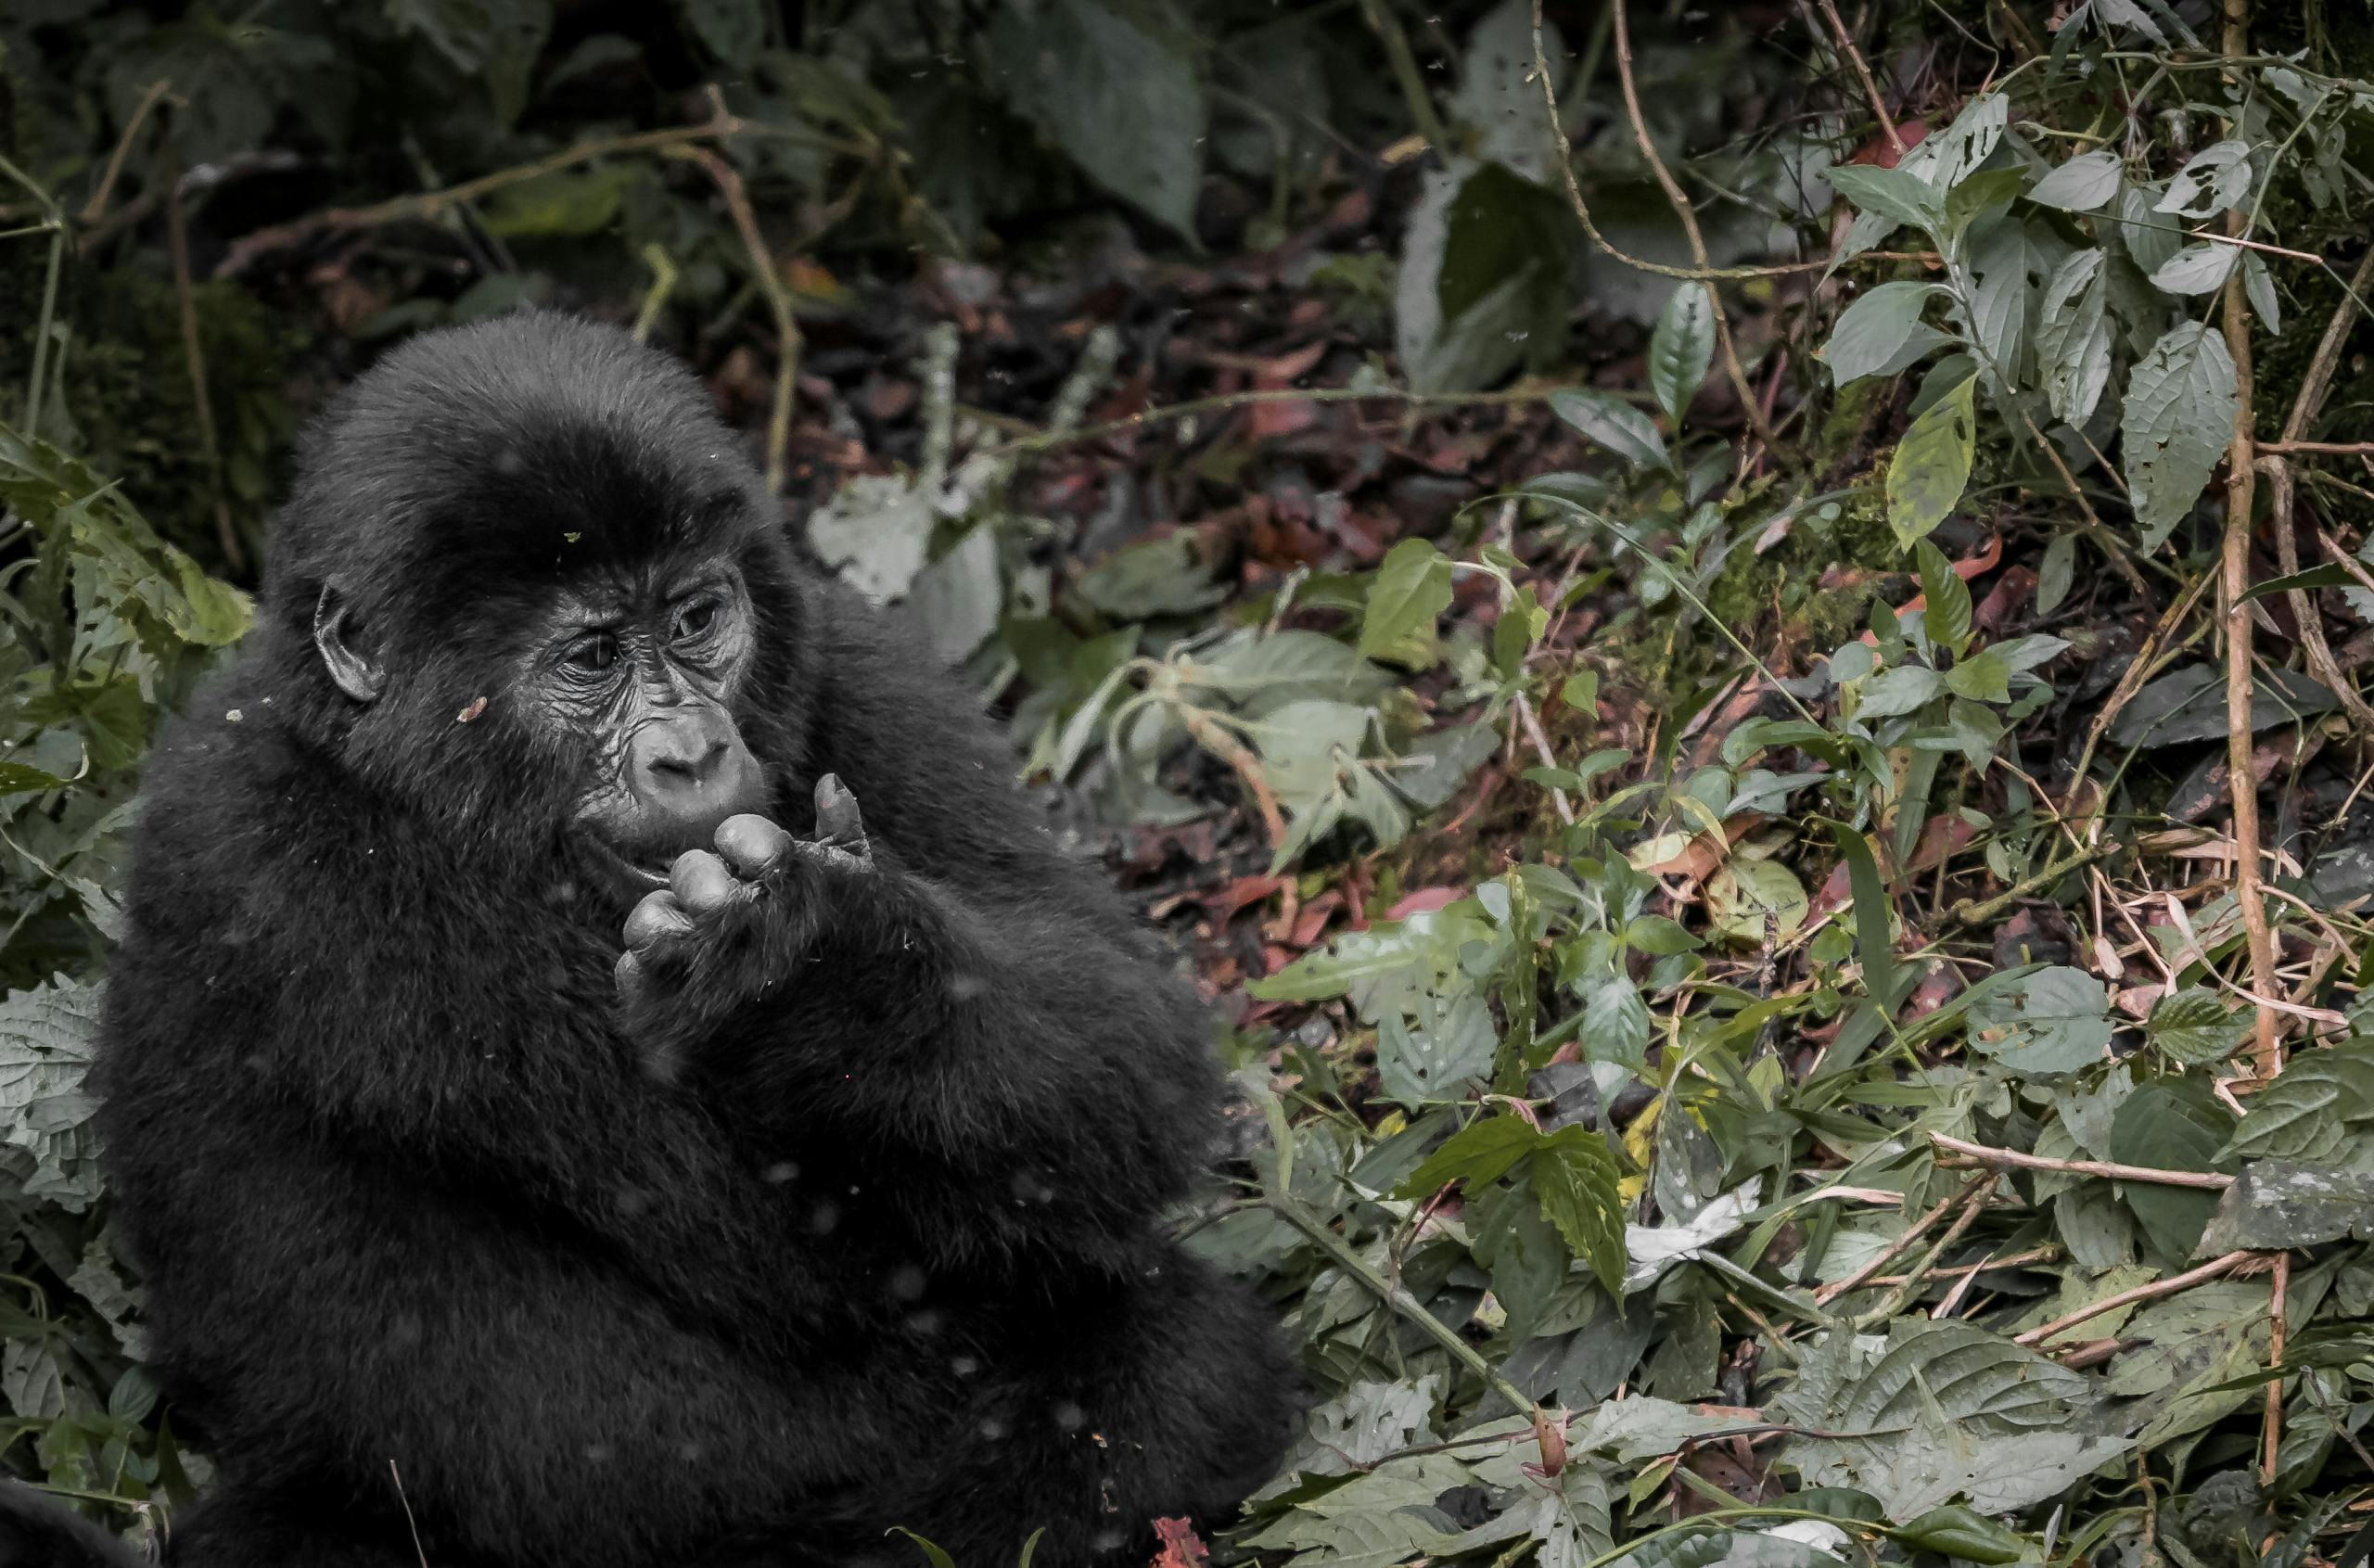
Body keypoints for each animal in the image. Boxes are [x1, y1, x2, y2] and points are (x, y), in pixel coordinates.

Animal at [0, 311, 1300, 1556]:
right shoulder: (282, 864)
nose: (693, 751)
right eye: (590, 657)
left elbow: (1120, 1049)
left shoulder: (847, 654)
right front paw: (799, 977)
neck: (395, 768)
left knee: (1178, 1362)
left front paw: (832, 974)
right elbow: (779, 1253)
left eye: (695, 617)